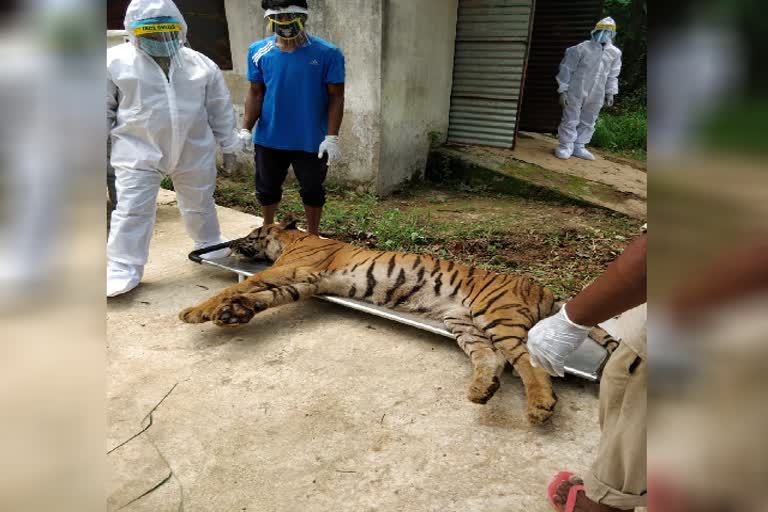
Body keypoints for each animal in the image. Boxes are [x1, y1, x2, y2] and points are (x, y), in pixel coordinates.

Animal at [180, 219, 616, 424]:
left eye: (253, 232)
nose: (234, 243)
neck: (295, 240)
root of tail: (545, 290)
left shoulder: (288, 271)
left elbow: (242, 285)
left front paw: (197, 311)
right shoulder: (301, 283)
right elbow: (258, 299)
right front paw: (232, 313)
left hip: (498, 316)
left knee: (529, 363)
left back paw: (540, 406)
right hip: (465, 323)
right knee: (491, 360)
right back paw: (482, 390)